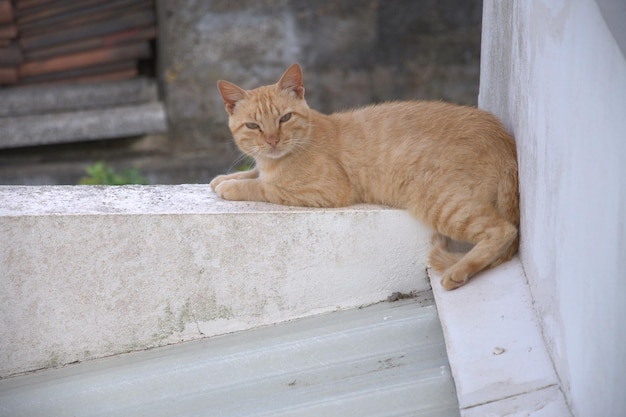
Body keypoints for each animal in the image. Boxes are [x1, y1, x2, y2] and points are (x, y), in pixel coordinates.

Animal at [210, 63, 516, 290]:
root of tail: (503, 139)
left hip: (442, 201)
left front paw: (232, 186)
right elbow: (253, 172)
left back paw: (458, 272)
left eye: (285, 118)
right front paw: (223, 178)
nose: (273, 140)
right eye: (253, 126)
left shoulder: (327, 191)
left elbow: (264, 186)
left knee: (504, 230)